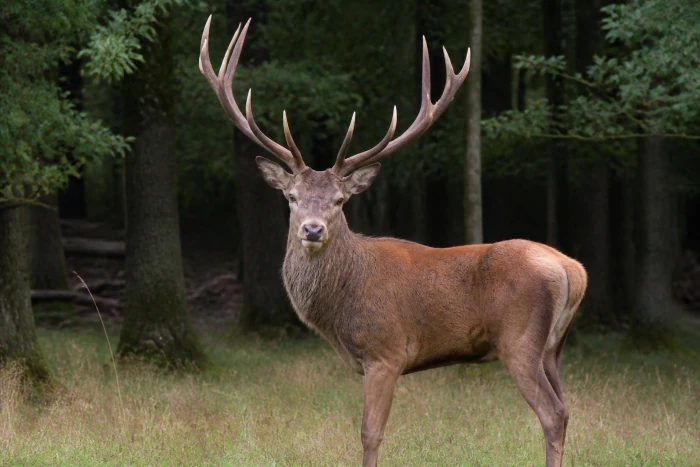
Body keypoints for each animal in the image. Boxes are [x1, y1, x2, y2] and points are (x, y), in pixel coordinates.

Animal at [199, 16, 587, 467]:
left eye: (340, 200)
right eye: (291, 197)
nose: (312, 229)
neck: (338, 309)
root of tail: (573, 270)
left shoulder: (385, 351)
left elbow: (370, 433)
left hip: (520, 340)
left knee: (553, 413)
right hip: (554, 346)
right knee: (568, 409)